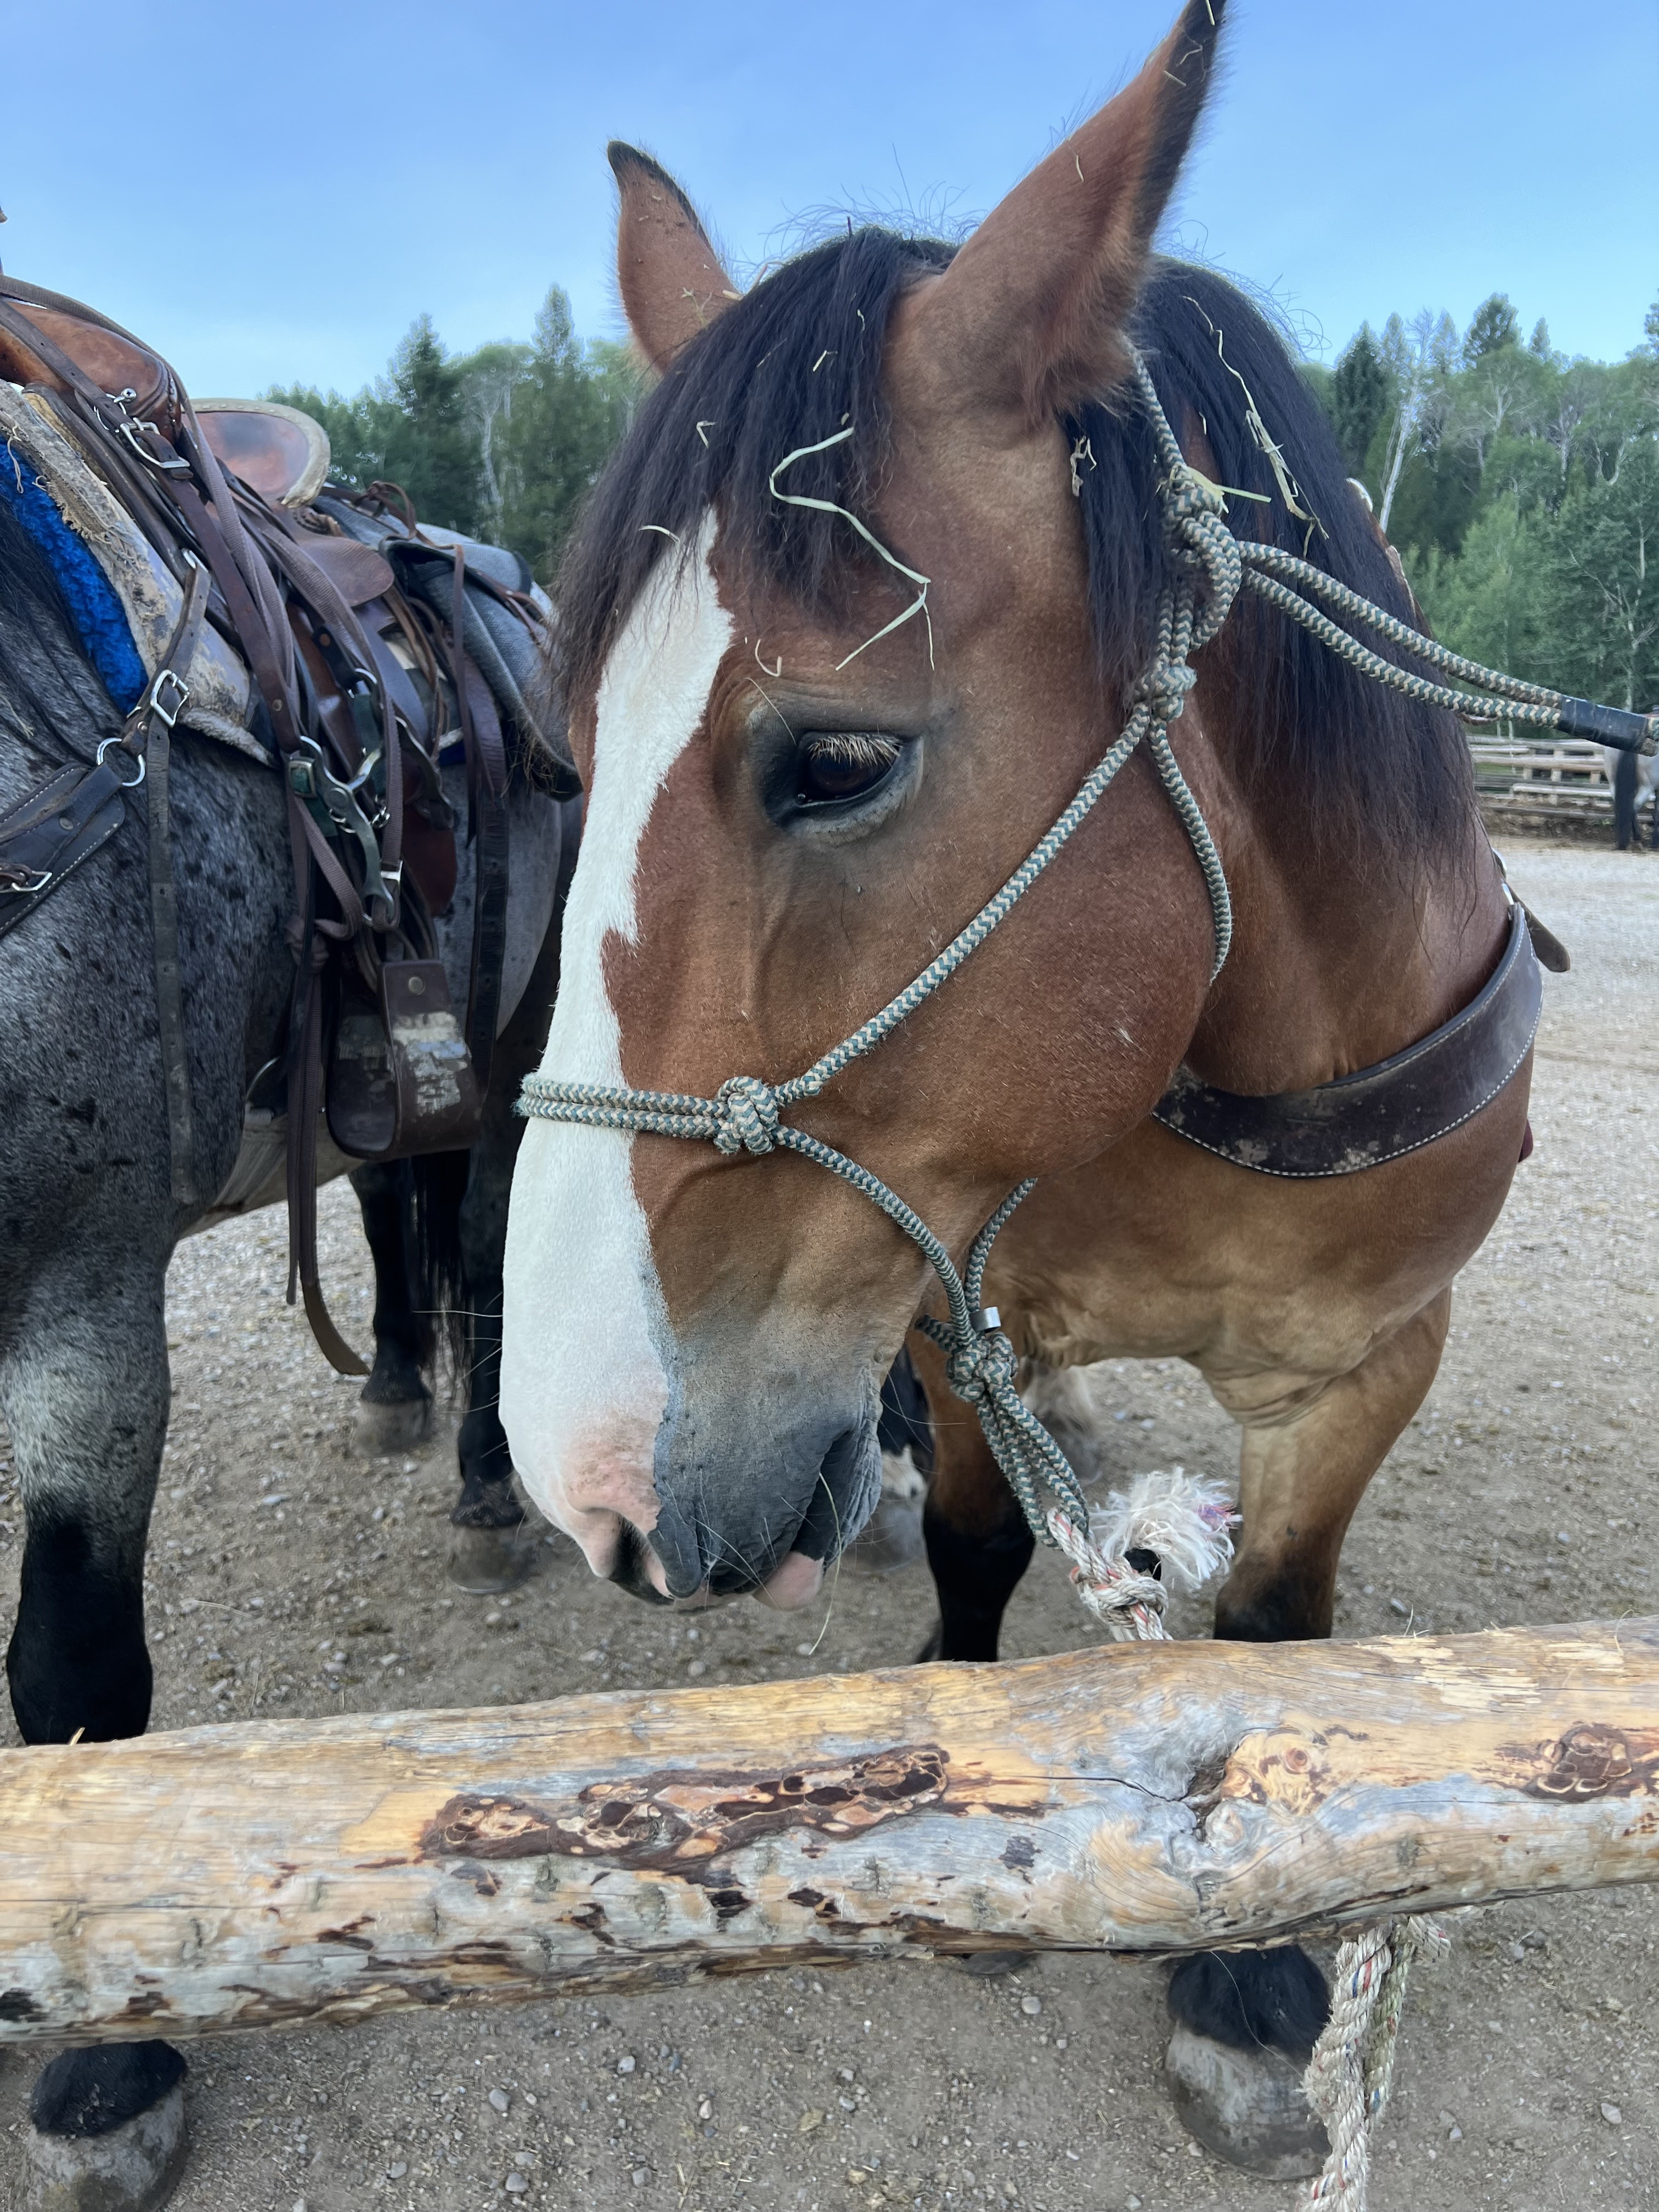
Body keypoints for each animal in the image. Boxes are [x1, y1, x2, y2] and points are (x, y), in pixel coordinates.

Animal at [0, 471, 579, 2194]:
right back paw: (389, 1379)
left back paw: (483, 1484)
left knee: (481, 1248)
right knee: (394, 1199)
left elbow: (73, 1671)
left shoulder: (85, 1293)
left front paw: (108, 2066)